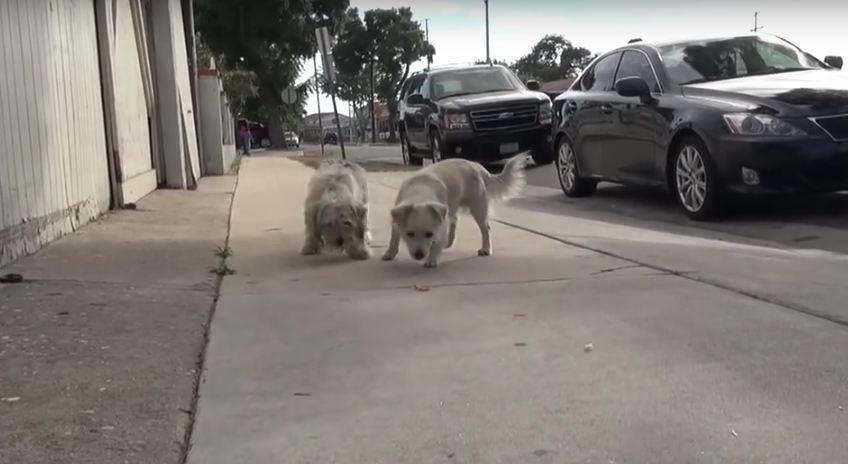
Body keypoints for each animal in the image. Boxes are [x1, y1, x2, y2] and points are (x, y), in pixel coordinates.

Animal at [380, 154, 528, 266]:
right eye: (409, 234)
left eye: (429, 234)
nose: (419, 255)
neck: (419, 194)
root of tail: (476, 165)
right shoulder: (396, 221)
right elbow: (394, 238)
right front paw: (390, 253)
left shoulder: (440, 226)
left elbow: (436, 244)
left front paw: (432, 259)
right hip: (453, 207)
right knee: (455, 220)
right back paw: (449, 242)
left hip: (478, 207)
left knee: (486, 229)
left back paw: (486, 249)